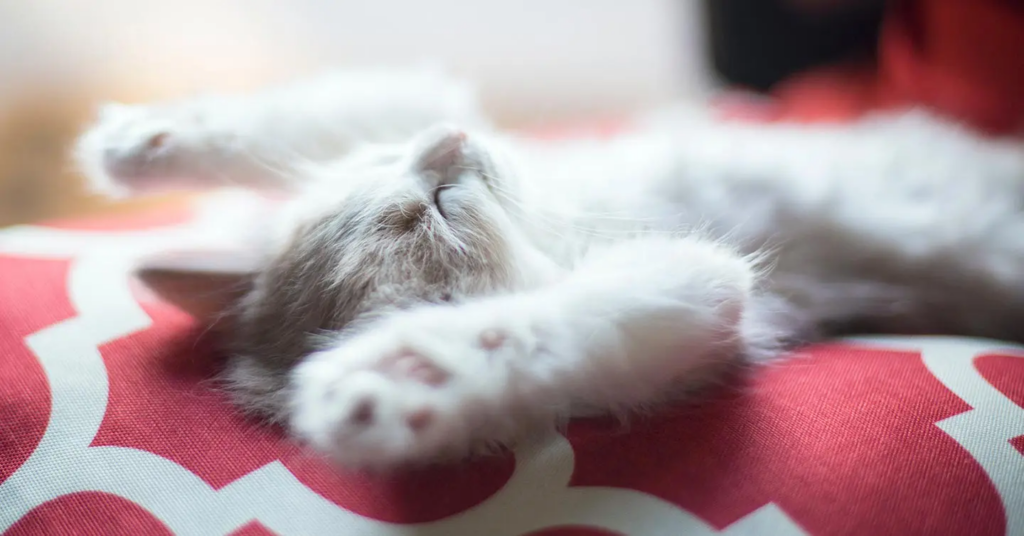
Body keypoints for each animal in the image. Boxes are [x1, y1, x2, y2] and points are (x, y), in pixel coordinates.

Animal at [74, 67, 1024, 469]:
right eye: (440, 205)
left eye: (405, 171)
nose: (450, 146)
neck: (554, 220)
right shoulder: (703, 285)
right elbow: (525, 330)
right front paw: (406, 374)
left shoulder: (424, 108)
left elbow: (353, 103)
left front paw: (144, 139)